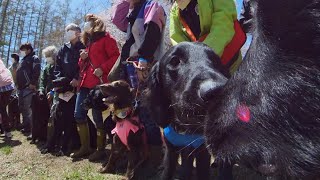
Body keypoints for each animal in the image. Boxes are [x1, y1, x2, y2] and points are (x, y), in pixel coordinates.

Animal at [144, 42, 229, 180]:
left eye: (216, 61)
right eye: (174, 61)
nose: (216, 90)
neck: (186, 131)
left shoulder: (202, 152)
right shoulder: (172, 149)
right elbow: (168, 171)